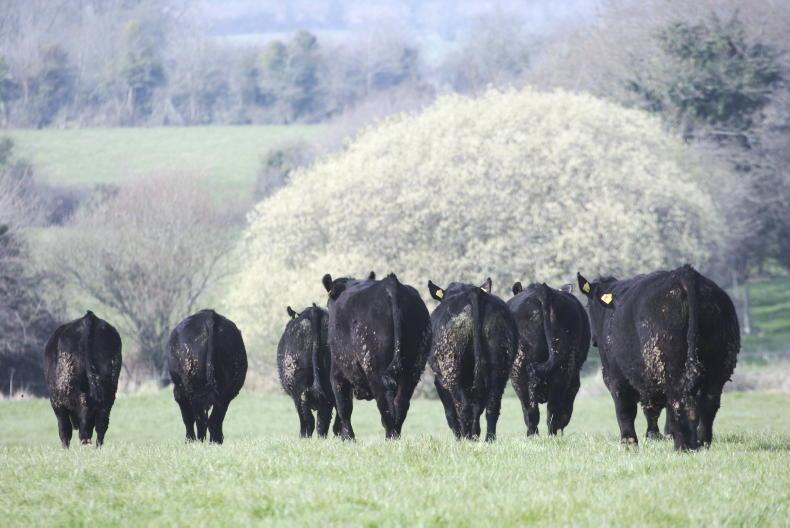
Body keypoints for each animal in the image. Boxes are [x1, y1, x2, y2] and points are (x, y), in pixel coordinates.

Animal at [43, 311, 122, 448]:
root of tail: (89, 318)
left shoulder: (57, 403)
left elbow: (64, 430)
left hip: (72, 395)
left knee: (81, 426)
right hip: (108, 392)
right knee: (101, 425)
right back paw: (98, 447)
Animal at [168, 309, 247, 444]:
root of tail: (209, 316)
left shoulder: (180, 392)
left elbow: (187, 418)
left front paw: (189, 440)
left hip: (194, 390)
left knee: (201, 420)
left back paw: (200, 442)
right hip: (225, 393)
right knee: (215, 420)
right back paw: (216, 441)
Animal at [322, 272, 431, 440]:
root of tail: (391, 284)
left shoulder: (337, 372)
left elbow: (344, 407)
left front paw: (348, 438)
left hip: (375, 367)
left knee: (385, 404)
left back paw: (390, 437)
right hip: (414, 367)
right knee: (401, 404)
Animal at [427, 278, 517, 441]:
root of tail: (474, 292)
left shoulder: (440, 382)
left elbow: (450, 413)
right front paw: (475, 435)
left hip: (452, 368)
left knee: (462, 408)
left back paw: (465, 439)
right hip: (499, 367)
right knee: (491, 407)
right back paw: (488, 440)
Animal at [577, 265, 740, 450]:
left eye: (588, 306)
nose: (594, 340)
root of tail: (685, 273)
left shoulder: (615, 375)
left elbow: (625, 410)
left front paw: (629, 443)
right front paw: (653, 435)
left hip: (670, 365)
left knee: (679, 401)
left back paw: (683, 446)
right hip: (718, 366)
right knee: (708, 403)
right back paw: (701, 443)